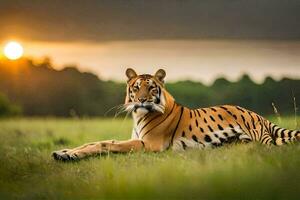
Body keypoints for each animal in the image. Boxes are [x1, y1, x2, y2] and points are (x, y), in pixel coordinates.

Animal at [52, 68, 298, 161]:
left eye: (151, 88)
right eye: (136, 87)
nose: (141, 100)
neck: (138, 116)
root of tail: (259, 115)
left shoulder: (148, 144)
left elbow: (106, 144)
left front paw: (69, 154)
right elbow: (97, 141)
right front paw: (63, 152)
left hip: (261, 139)